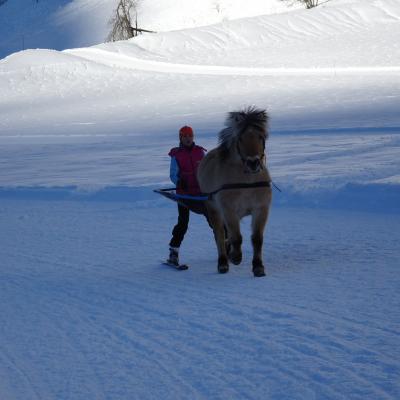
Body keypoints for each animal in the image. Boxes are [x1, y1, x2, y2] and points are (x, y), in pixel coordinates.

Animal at [197, 107, 272, 278]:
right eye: (241, 138)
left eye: (261, 136)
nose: (253, 163)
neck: (246, 183)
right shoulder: (228, 210)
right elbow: (236, 237)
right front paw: (235, 257)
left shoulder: (261, 209)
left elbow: (257, 239)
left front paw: (258, 267)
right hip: (214, 209)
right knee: (219, 235)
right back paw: (223, 262)